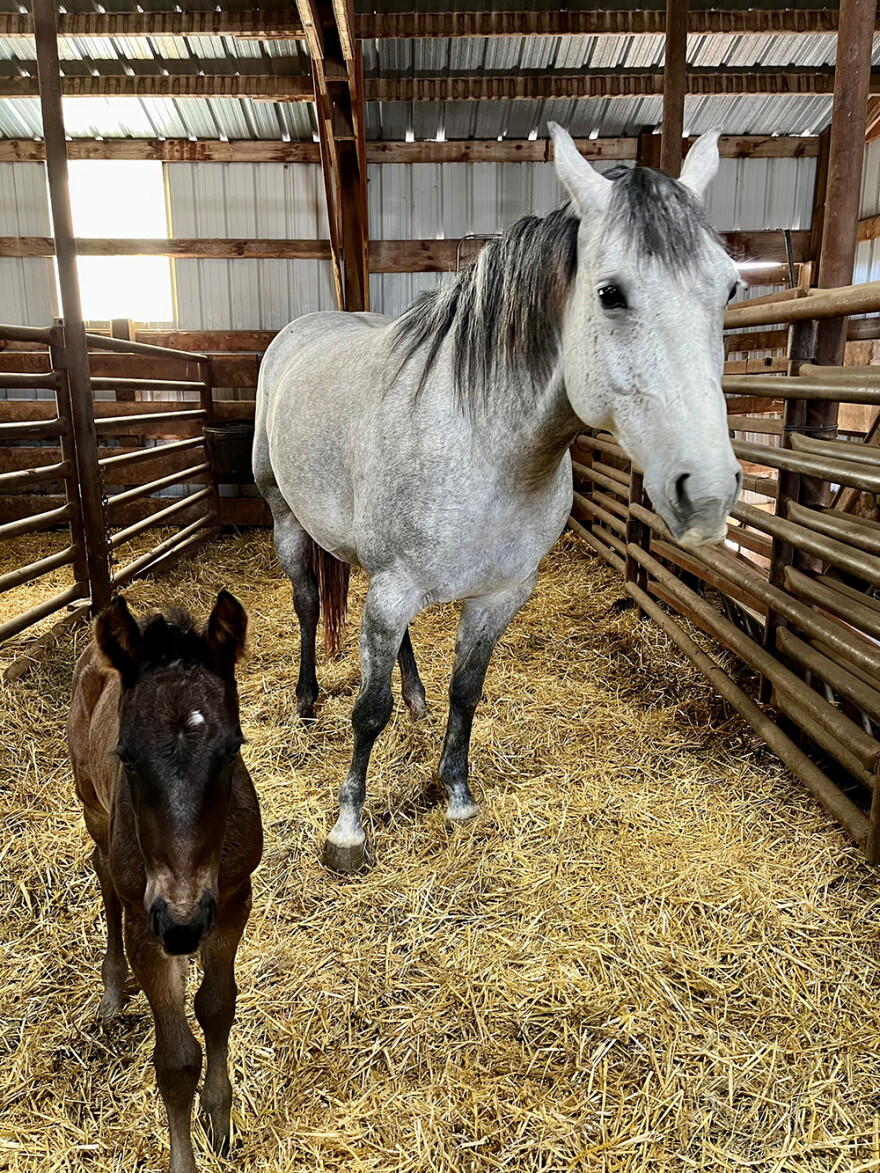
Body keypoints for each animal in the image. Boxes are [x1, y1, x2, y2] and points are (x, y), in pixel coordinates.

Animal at [68, 591, 262, 1173]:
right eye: (127, 756)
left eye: (231, 749)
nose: (181, 924)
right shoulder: (147, 923)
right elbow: (176, 1061)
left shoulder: (233, 900)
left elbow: (217, 1008)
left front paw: (218, 1119)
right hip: (93, 810)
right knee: (103, 872)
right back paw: (112, 988)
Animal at [253, 123, 742, 874]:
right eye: (611, 293)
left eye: (731, 289)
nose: (707, 493)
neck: (487, 445)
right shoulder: (393, 592)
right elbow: (367, 709)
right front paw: (348, 829)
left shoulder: (497, 596)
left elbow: (467, 691)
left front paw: (455, 792)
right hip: (285, 517)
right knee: (308, 603)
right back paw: (307, 699)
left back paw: (416, 695)